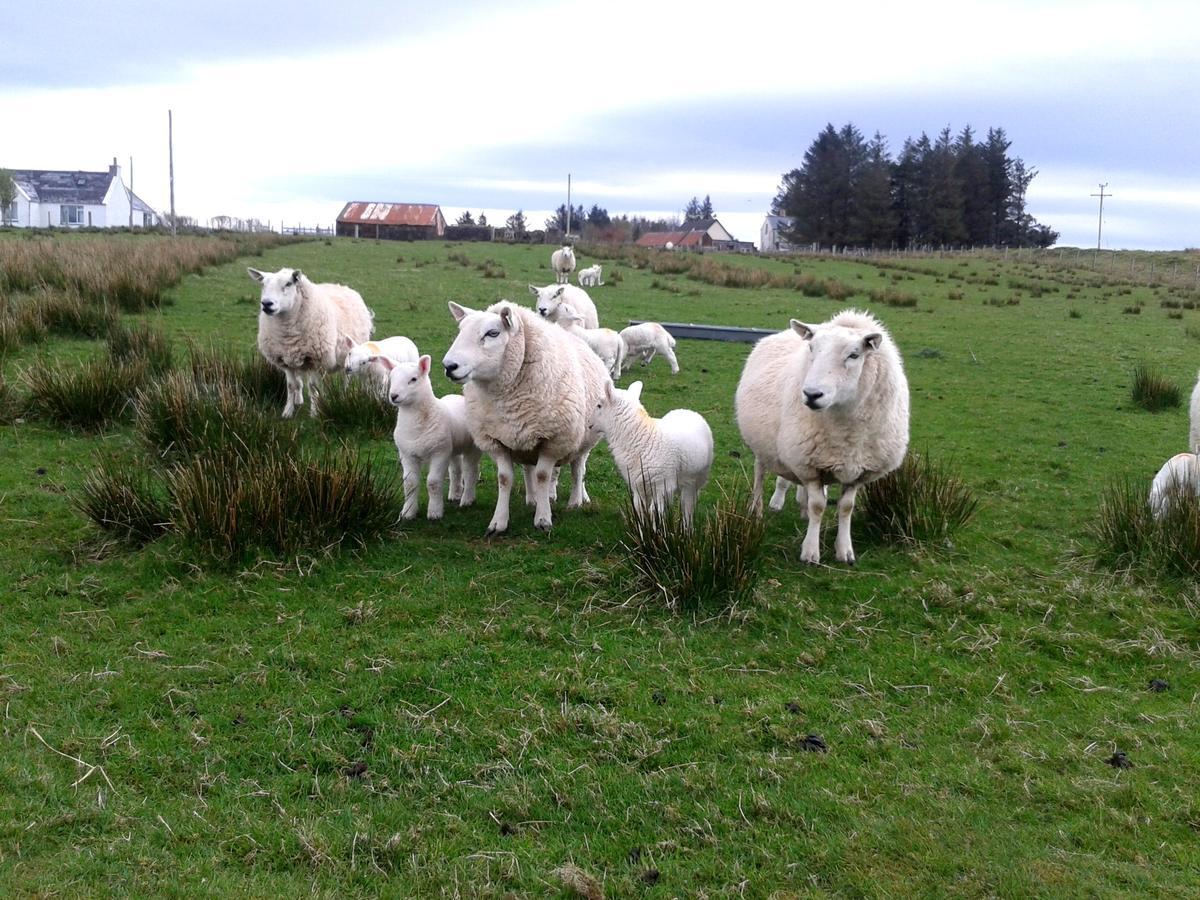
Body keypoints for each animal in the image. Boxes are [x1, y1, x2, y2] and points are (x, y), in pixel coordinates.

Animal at [248, 264, 369, 420]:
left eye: (288, 283)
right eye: (263, 284)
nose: (267, 304)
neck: (288, 333)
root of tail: (341, 286)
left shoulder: (314, 360)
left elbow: (312, 386)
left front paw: (314, 412)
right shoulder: (285, 360)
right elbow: (291, 386)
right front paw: (288, 411)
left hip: (347, 356)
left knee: (346, 378)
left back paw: (343, 396)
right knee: (301, 381)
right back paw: (300, 400)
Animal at [376, 355, 484, 520]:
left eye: (413, 379)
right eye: (391, 378)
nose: (393, 396)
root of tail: (458, 397)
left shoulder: (439, 453)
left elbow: (433, 482)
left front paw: (434, 513)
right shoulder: (407, 454)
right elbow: (409, 483)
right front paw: (408, 513)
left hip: (471, 447)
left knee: (470, 471)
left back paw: (467, 499)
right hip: (452, 448)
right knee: (456, 470)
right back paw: (455, 494)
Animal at [441, 300, 609, 535]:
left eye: (493, 333)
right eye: (460, 331)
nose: (449, 366)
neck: (507, 399)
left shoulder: (553, 440)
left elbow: (543, 476)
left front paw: (543, 519)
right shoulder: (496, 440)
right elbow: (505, 479)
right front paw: (498, 522)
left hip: (582, 439)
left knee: (578, 470)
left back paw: (576, 500)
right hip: (524, 439)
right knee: (530, 469)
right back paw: (534, 498)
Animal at [588, 379, 710, 528]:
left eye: (599, 405)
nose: (588, 424)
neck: (643, 437)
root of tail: (687, 410)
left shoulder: (663, 485)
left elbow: (654, 512)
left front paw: (657, 532)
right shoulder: (637, 485)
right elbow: (639, 510)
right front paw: (642, 531)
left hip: (696, 480)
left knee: (688, 505)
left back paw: (687, 529)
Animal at [729, 309, 907, 564]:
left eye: (854, 355)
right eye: (811, 348)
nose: (812, 394)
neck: (848, 435)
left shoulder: (857, 472)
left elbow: (846, 507)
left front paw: (845, 551)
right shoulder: (809, 466)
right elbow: (818, 507)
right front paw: (810, 552)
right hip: (765, 447)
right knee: (759, 475)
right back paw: (758, 509)